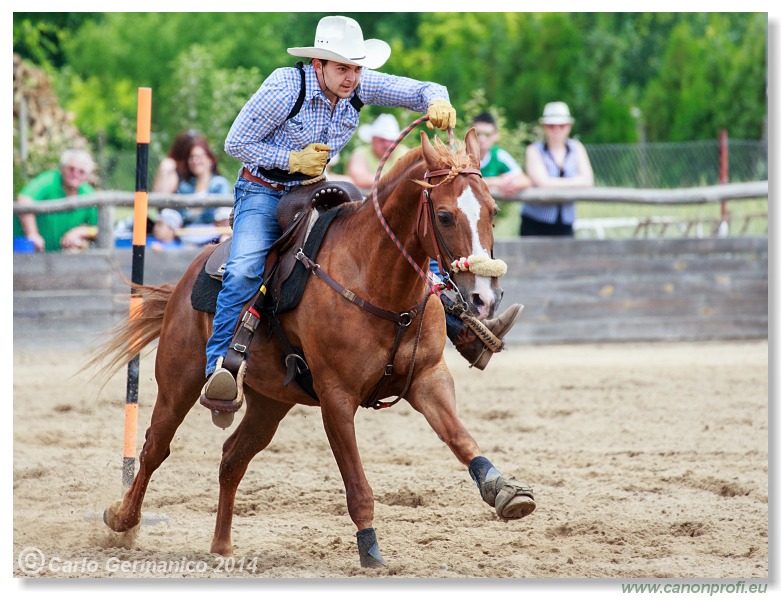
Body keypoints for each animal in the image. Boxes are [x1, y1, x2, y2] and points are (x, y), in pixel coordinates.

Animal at [94, 129, 536, 568]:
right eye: (444, 215)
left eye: (493, 210)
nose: (483, 297)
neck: (375, 280)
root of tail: (181, 284)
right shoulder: (336, 397)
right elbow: (356, 483)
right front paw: (370, 549)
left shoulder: (428, 379)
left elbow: (461, 439)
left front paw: (504, 491)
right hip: (178, 381)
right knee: (155, 448)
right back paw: (122, 519)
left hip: (270, 402)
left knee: (232, 458)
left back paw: (221, 547)